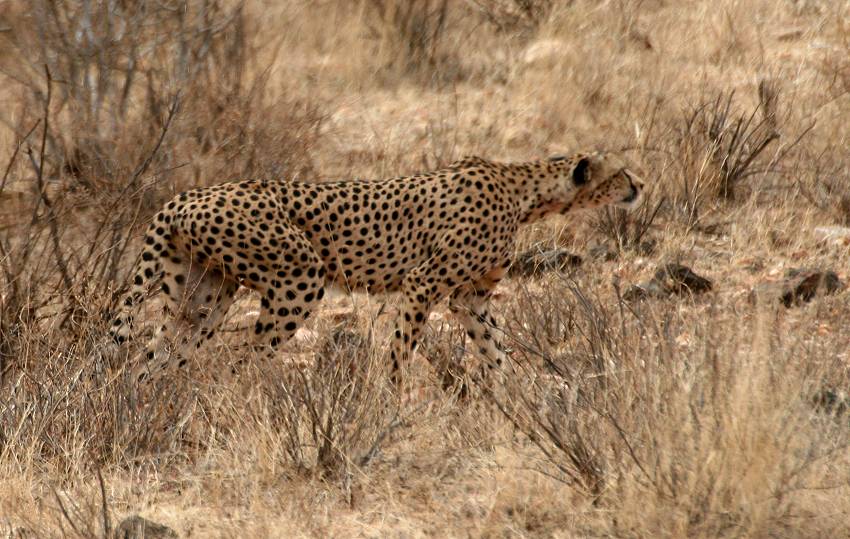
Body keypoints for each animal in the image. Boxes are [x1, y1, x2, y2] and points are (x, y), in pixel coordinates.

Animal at [111, 153, 644, 384]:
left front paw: (517, 396)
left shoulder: (468, 296)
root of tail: (185, 195)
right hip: (298, 277)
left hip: (200, 296)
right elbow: (401, 351)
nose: (638, 183)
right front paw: (389, 401)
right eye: (618, 172)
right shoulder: (423, 282)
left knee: (154, 358)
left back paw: (150, 407)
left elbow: (494, 349)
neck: (525, 191)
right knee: (244, 359)